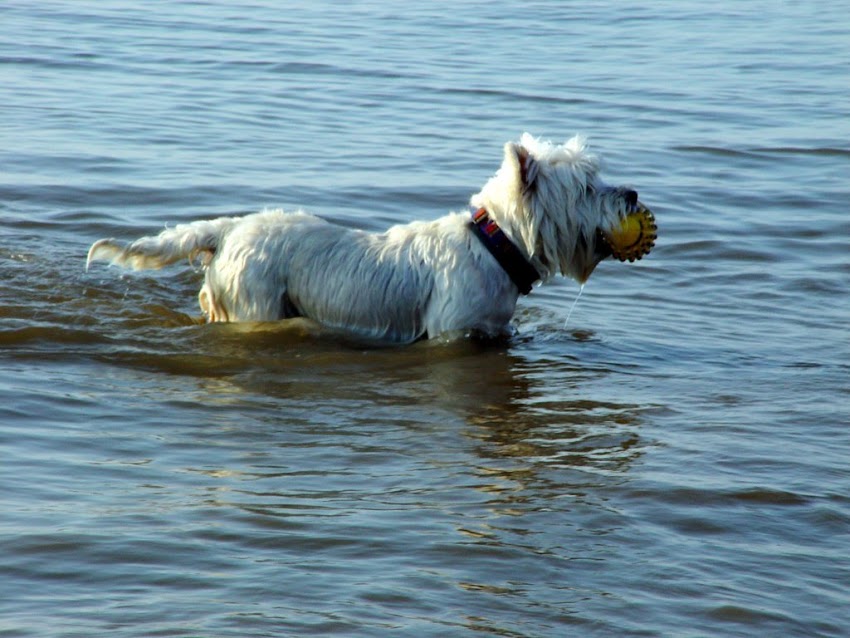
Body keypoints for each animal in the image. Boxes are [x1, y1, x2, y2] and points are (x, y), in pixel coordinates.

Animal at [88, 135, 656, 344]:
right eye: (587, 186)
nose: (631, 193)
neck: (495, 246)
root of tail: (227, 229)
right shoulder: (453, 333)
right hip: (255, 302)